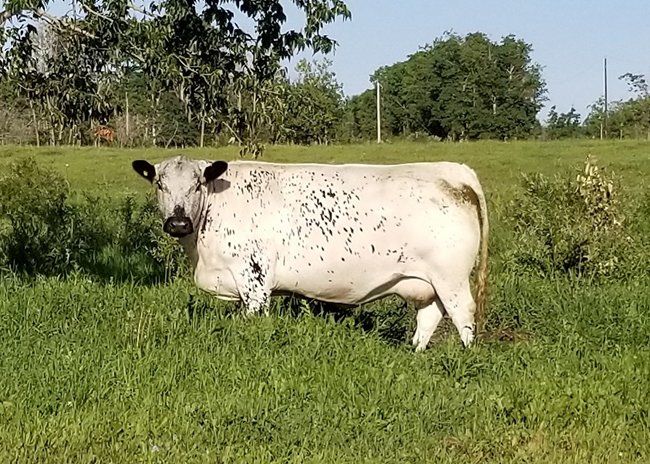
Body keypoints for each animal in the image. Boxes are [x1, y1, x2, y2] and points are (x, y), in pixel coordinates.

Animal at [132, 156, 488, 350]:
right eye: (160, 184)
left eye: (197, 184)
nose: (178, 222)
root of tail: (453, 172)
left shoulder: (254, 281)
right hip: (429, 282)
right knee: (429, 316)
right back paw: (414, 352)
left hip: (452, 278)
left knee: (463, 315)